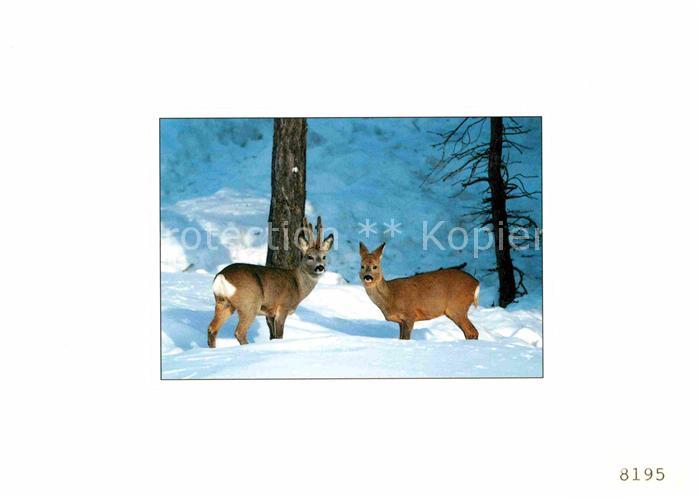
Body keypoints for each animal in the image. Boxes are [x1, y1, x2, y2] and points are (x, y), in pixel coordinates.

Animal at [207, 216, 333, 348]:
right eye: (309, 256)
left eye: (324, 257)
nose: (320, 267)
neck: (298, 285)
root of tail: (221, 276)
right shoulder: (283, 306)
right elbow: (279, 335)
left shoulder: (270, 313)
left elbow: (273, 336)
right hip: (249, 304)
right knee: (239, 332)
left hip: (223, 303)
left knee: (212, 329)